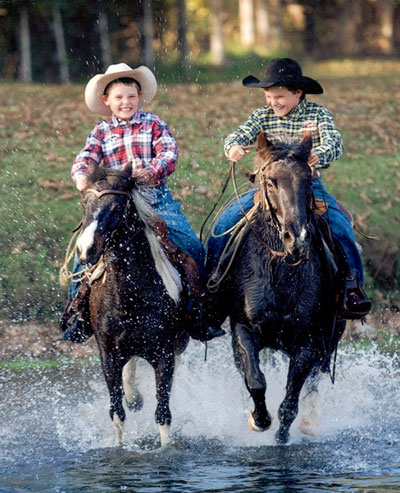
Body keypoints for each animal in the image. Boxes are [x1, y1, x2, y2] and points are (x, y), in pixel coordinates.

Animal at [75, 162, 191, 446]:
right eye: (84, 203)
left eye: (117, 206)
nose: (85, 249)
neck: (129, 298)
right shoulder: (108, 355)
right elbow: (117, 413)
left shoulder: (164, 355)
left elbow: (163, 414)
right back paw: (133, 396)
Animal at [211, 134, 346, 442]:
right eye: (271, 181)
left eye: (308, 181)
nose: (297, 239)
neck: (280, 273)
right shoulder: (243, 329)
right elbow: (255, 380)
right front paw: (259, 419)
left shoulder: (308, 340)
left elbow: (291, 399)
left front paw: (281, 437)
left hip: (330, 337)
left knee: (315, 380)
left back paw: (310, 421)